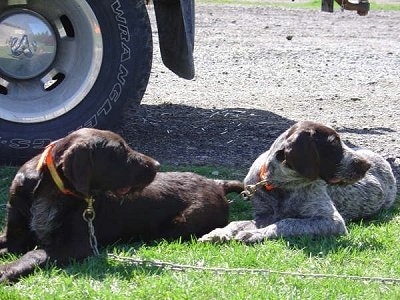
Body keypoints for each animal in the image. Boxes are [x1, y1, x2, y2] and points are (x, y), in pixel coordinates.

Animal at [200, 120, 396, 243]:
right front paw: (219, 232)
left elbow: (286, 222)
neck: (280, 185)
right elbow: (236, 223)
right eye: (334, 144)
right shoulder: (264, 215)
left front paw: (253, 234)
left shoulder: (332, 221)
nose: (366, 165)